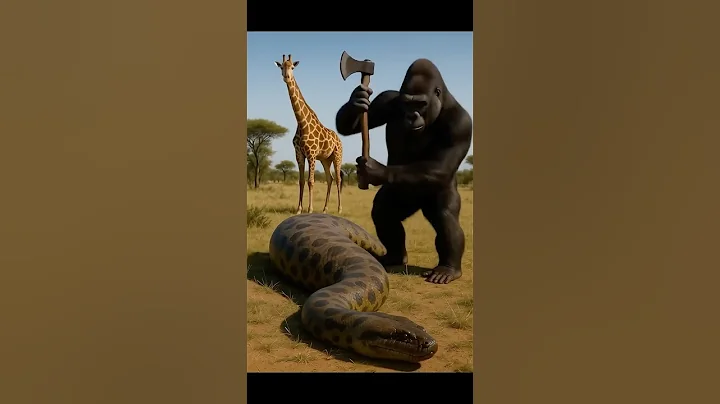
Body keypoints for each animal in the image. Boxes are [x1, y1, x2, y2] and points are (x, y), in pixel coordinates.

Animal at [275, 54, 343, 215]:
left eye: (293, 67)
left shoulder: (311, 154)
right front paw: (299, 209)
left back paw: (339, 209)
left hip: (337, 156)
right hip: (325, 159)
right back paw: (324, 209)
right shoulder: (299, 154)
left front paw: (310, 209)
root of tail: (339, 139)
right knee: (330, 179)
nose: (286, 77)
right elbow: (300, 181)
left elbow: (310, 181)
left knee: (338, 179)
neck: (301, 123)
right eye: (282, 67)